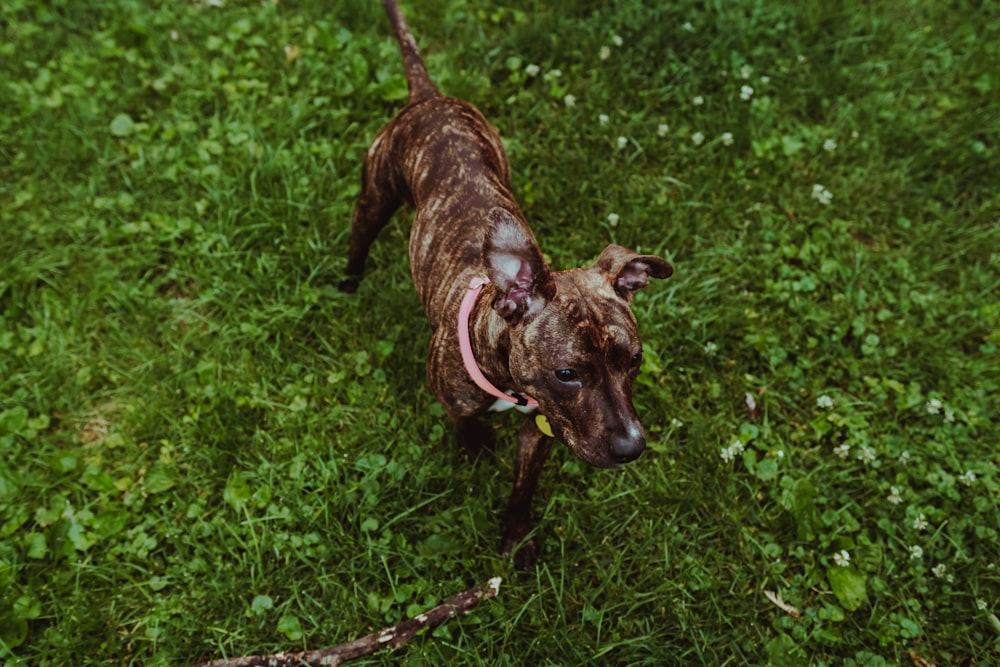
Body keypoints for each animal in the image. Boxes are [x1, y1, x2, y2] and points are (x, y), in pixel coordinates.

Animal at [342, 0, 672, 568]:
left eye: (634, 360)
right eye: (567, 373)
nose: (632, 448)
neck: (510, 380)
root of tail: (430, 97)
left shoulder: (542, 430)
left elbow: (523, 488)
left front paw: (515, 537)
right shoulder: (456, 398)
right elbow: (465, 423)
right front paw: (475, 448)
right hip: (376, 192)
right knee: (360, 234)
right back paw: (347, 280)